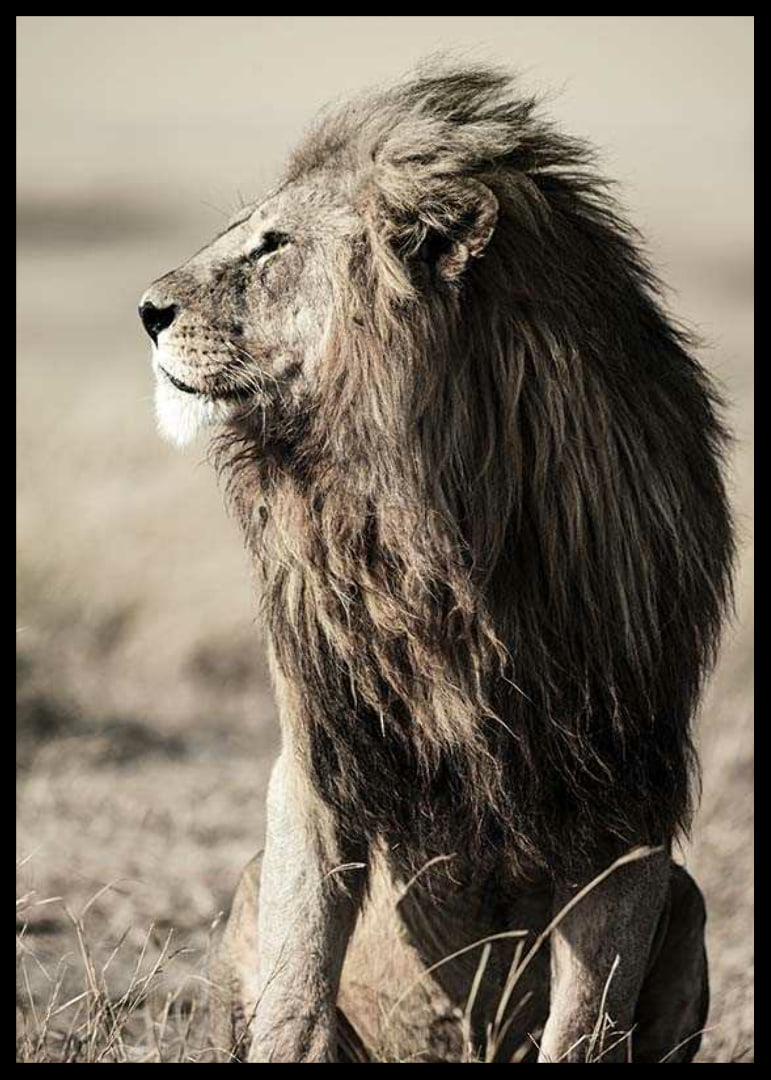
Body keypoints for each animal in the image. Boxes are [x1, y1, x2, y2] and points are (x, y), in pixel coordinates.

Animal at [139, 65, 733, 1063]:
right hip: (250, 880)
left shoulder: (630, 792)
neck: (426, 519)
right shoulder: (317, 754)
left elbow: (585, 1021)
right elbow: (297, 986)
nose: (146, 311)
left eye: (273, 245)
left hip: (688, 903)